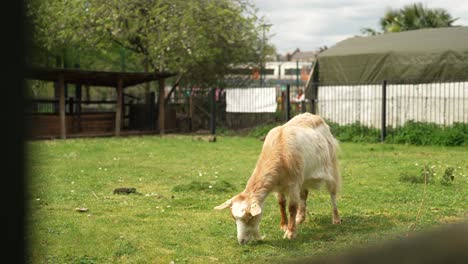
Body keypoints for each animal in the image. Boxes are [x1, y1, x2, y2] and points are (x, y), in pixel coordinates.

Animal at [215, 112, 340, 244]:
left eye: (250, 217)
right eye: (233, 217)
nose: (241, 241)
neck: (280, 151)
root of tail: (314, 116)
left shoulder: (293, 184)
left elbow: (292, 207)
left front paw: (290, 233)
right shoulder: (279, 185)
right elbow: (281, 203)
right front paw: (284, 225)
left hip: (331, 166)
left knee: (332, 193)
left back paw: (336, 218)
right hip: (304, 177)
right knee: (304, 194)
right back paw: (299, 218)